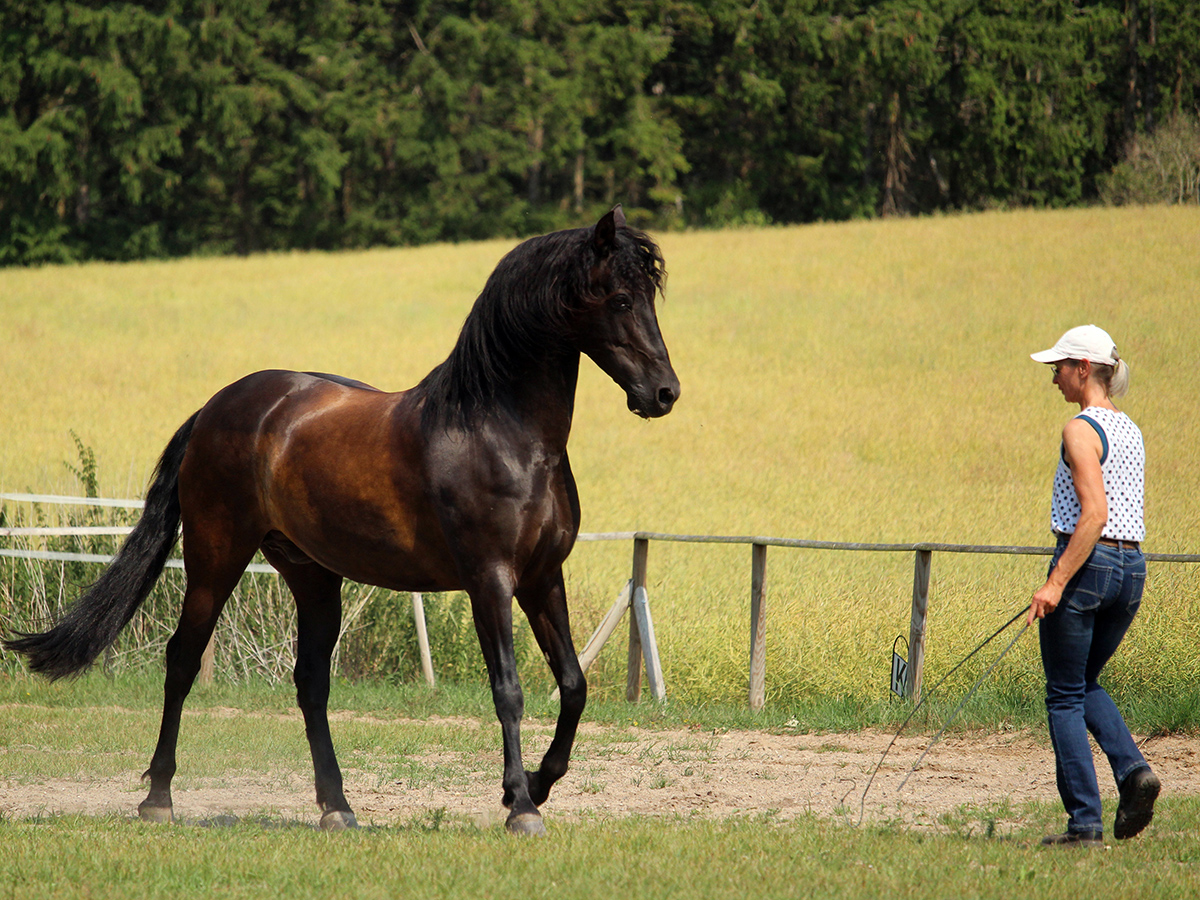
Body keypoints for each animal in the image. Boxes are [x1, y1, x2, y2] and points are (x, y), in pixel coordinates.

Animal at [4, 206, 679, 835]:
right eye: (620, 298)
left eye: (649, 295)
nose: (664, 393)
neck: (501, 431)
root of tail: (216, 407)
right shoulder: (490, 581)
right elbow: (508, 690)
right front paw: (520, 805)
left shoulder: (542, 577)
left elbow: (572, 683)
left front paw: (537, 784)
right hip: (215, 558)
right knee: (182, 660)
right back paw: (159, 798)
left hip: (313, 577)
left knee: (310, 683)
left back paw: (337, 806)